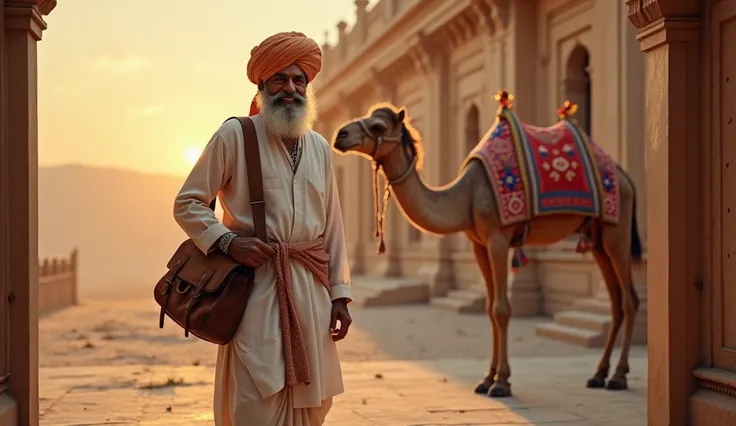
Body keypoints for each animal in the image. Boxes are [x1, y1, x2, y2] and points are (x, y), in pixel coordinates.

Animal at [330, 91, 640, 398]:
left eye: (378, 126)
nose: (340, 135)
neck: (465, 196)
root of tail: (626, 178)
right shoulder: (478, 245)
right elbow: (490, 309)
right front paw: (486, 379)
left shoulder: (498, 239)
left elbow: (502, 309)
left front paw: (501, 382)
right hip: (598, 238)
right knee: (614, 301)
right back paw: (599, 374)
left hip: (617, 230)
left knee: (629, 299)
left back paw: (619, 376)